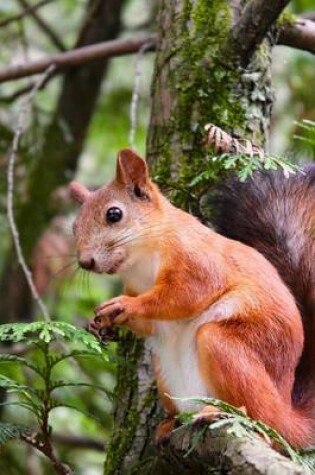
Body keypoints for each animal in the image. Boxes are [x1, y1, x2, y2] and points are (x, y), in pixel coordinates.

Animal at [70, 150, 315, 450]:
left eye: (114, 214)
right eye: (74, 227)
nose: (85, 262)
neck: (141, 262)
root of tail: (287, 411)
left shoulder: (197, 260)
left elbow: (185, 295)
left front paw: (124, 306)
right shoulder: (136, 287)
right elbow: (149, 323)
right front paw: (100, 324)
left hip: (229, 348)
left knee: (264, 421)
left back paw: (224, 413)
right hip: (164, 371)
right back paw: (170, 423)